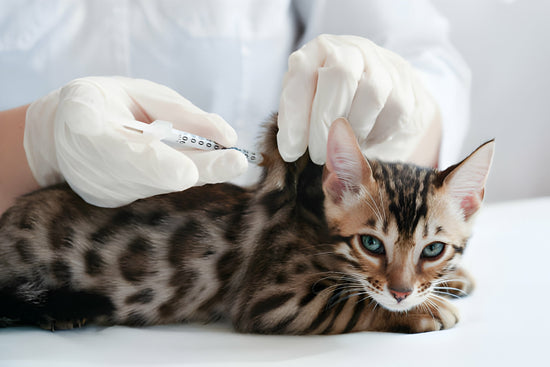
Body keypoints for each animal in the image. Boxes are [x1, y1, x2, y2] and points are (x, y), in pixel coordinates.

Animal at [0, 116, 496, 334]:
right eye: (372, 244)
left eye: (433, 250)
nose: (401, 292)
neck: (314, 224)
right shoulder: (271, 300)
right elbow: (353, 303)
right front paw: (426, 310)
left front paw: (453, 281)